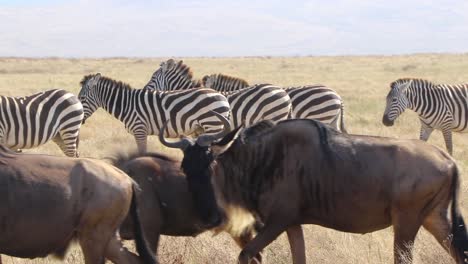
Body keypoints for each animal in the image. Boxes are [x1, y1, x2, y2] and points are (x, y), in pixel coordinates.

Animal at [79, 73, 231, 154]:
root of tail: (222, 96)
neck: (126, 104)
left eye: (82, 98)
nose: (81, 120)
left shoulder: (139, 130)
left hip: (213, 124)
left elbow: (142, 152)